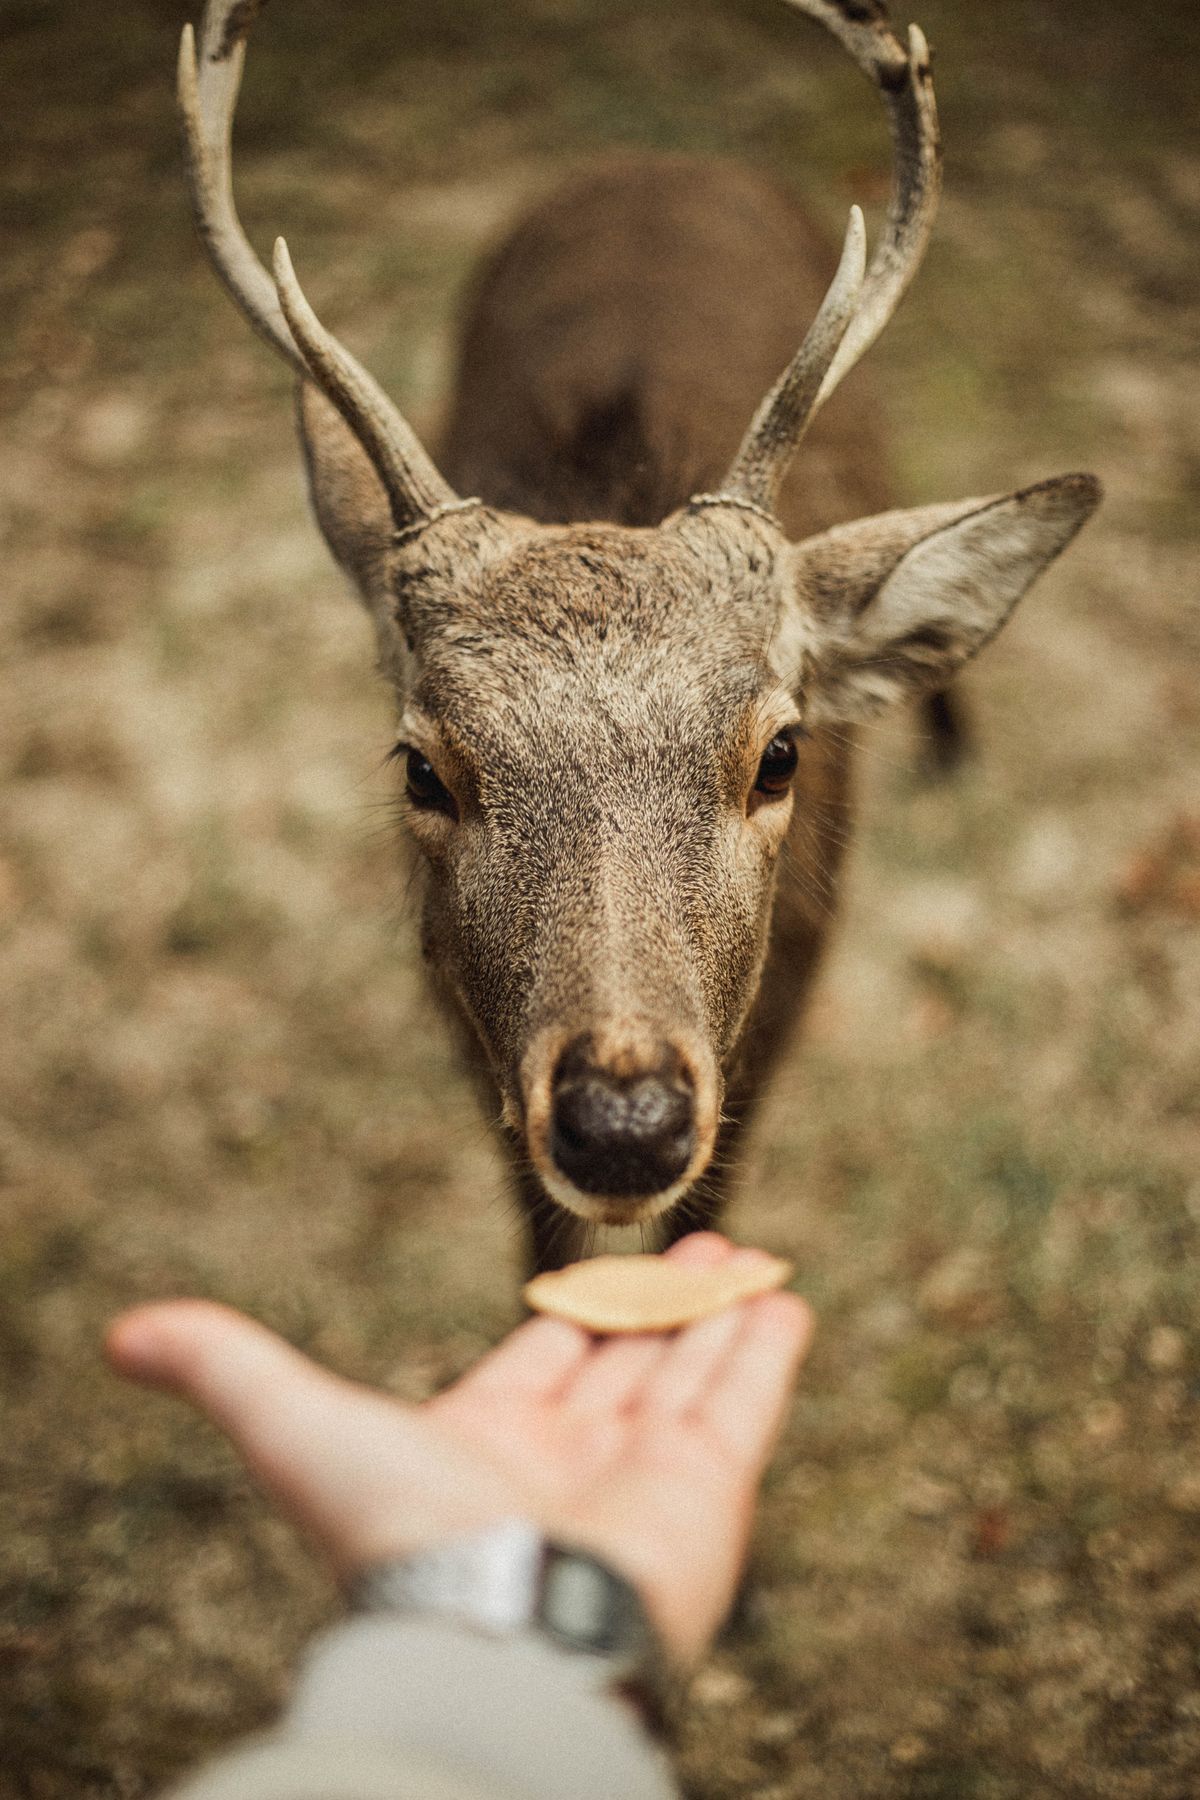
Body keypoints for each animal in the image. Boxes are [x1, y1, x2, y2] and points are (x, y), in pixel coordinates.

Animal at [178, 0, 1099, 1275]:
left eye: (782, 755)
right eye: (422, 767)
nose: (624, 1123)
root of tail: (661, 159)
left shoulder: (779, 1012)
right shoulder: (469, 1031)